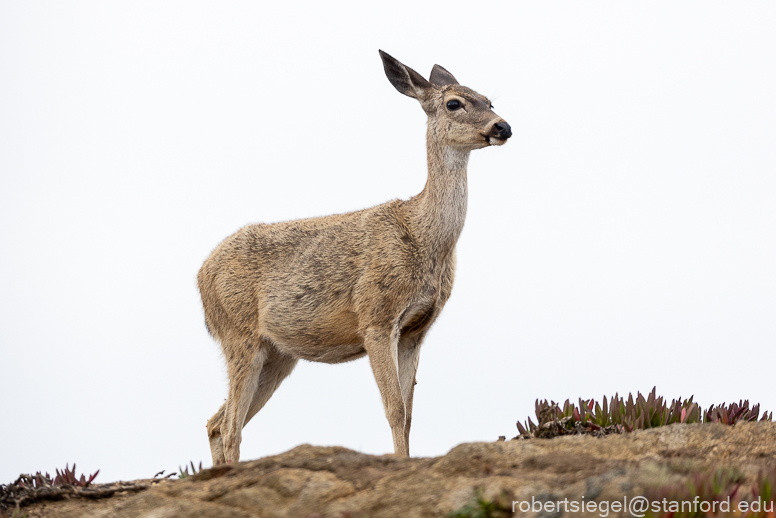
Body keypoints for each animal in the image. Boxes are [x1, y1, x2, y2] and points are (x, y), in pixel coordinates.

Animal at [200, 50, 512, 468]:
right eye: (454, 103)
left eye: (489, 101)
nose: (503, 126)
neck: (423, 235)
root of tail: (200, 274)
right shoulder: (376, 317)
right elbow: (394, 409)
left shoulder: (415, 330)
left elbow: (409, 413)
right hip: (239, 333)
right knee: (231, 425)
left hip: (278, 355)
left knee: (216, 422)